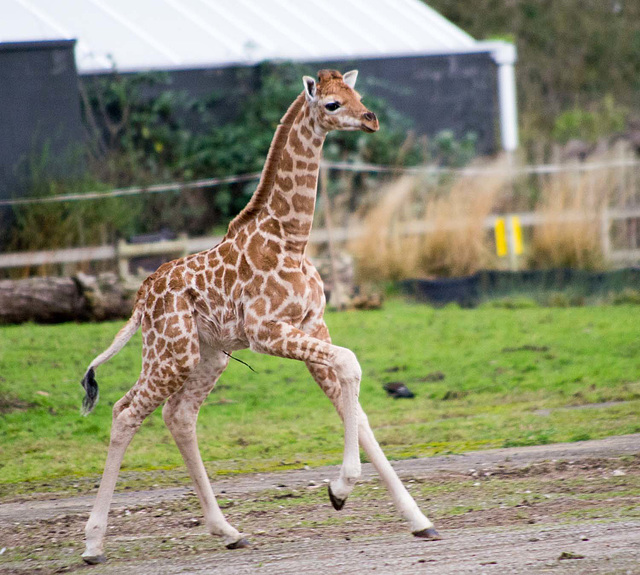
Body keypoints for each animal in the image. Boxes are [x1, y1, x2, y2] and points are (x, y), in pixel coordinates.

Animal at [80, 70, 440, 564]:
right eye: (331, 104)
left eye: (356, 93)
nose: (370, 119)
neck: (292, 238)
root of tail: (139, 298)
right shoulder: (265, 330)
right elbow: (350, 362)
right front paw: (340, 488)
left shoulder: (312, 324)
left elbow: (357, 408)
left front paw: (418, 520)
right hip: (172, 352)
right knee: (125, 411)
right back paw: (93, 543)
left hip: (207, 356)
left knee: (179, 416)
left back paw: (228, 531)